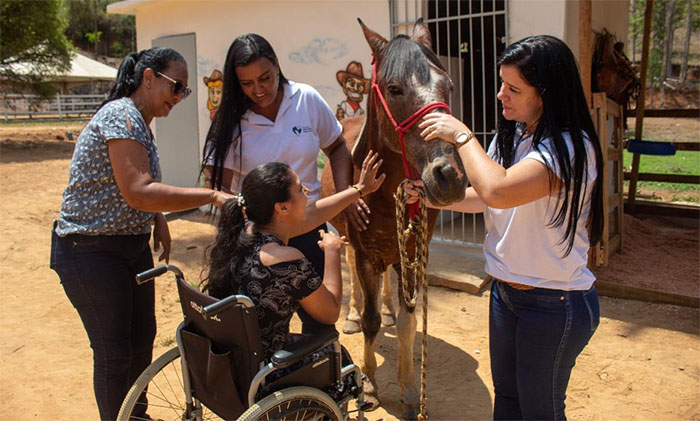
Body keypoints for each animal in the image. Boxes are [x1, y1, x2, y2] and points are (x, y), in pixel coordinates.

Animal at [320, 18, 468, 416]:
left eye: (448, 86)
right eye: (395, 88)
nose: (449, 177)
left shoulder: (412, 254)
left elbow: (407, 321)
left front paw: (409, 390)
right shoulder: (366, 253)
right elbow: (371, 322)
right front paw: (370, 386)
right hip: (350, 240)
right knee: (352, 274)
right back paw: (352, 316)